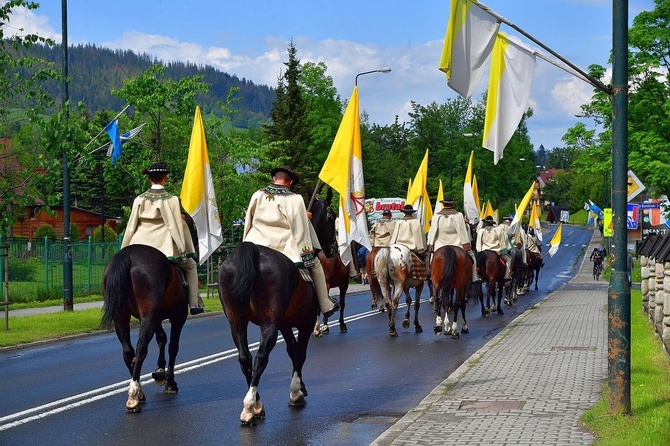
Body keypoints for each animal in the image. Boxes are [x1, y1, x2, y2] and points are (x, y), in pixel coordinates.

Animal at [102, 244, 192, 412]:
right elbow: (173, 346)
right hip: (148, 315)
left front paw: (160, 371)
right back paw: (133, 395)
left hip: (121, 318)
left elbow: (161, 338)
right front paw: (170, 382)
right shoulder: (178, 316)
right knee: (141, 347)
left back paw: (139, 392)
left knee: (128, 351)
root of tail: (126, 255)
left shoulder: (155, 318)